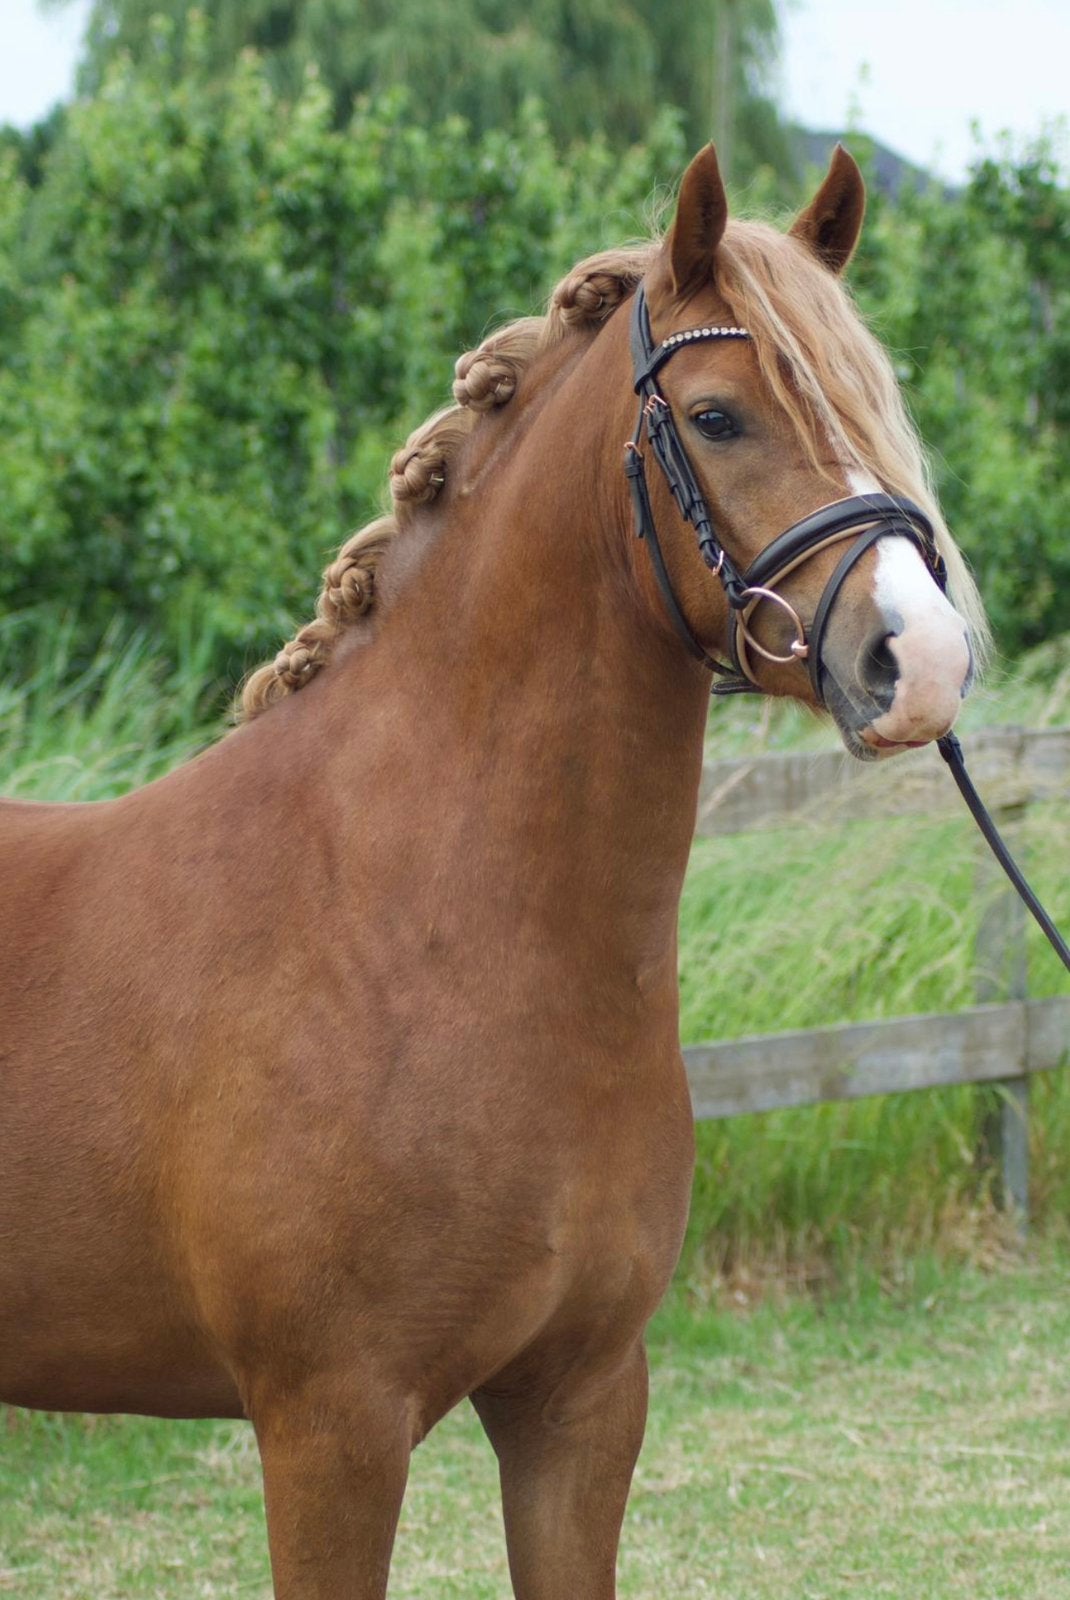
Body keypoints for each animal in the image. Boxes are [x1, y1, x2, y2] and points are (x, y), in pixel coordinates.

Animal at [0, 144, 985, 1598]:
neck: (421, 929)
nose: (917, 659)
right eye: (714, 417)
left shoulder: (579, 1400)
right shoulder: (332, 1426)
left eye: (873, 400)